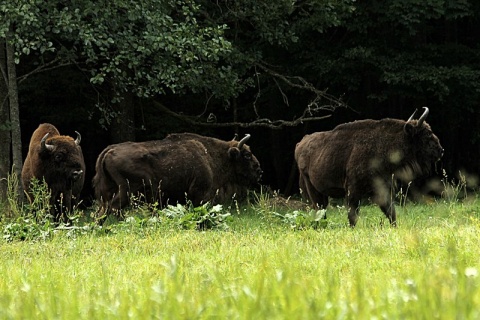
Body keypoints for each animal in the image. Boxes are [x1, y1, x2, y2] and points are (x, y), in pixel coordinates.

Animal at [91, 131, 260, 219]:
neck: (210, 154)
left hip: (110, 190)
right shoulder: (199, 193)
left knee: (102, 210)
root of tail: (109, 150)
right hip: (127, 189)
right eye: (247, 155)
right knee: (114, 207)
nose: (259, 170)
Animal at [294, 108, 444, 228]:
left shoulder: (383, 189)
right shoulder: (354, 190)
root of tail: (301, 143)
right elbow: (353, 215)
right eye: (427, 134)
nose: (440, 150)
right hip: (312, 188)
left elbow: (391, 212)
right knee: (319, 208)